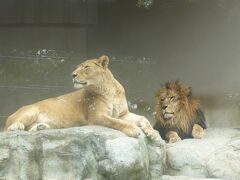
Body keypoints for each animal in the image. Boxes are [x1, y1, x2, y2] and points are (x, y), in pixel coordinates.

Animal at [4, 55, 158, 140]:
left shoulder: (123, 114)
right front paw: (133, 129)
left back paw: (41, 126)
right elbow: (116, 122)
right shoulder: (97, 116)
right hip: (31, 110)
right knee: (7, 129)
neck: (108, 90)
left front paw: (152, 133)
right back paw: (16, 127)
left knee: (29, 129)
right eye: (78, 67)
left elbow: (142, 118)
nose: (73, 75)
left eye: (86, 67)